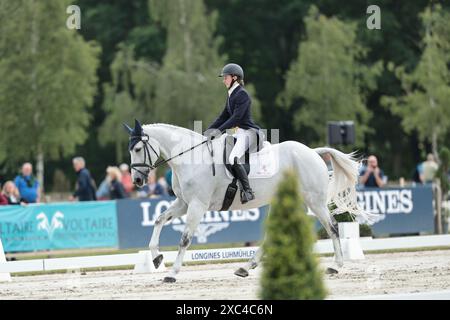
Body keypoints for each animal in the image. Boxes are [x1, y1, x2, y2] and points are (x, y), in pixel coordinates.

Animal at [124, 120, 372, 282]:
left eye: (137, 148)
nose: (137, 180)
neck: (190, 159)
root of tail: (312, 152)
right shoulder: (184, 204)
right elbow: (158, 220)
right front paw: (157, 258)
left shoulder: (197, 205)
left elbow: (185, 239)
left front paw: (171, 273)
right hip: (285, 200)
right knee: (273, 236)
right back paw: (245, 267)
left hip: (315, 201)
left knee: (332, 226)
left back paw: (335, 266)